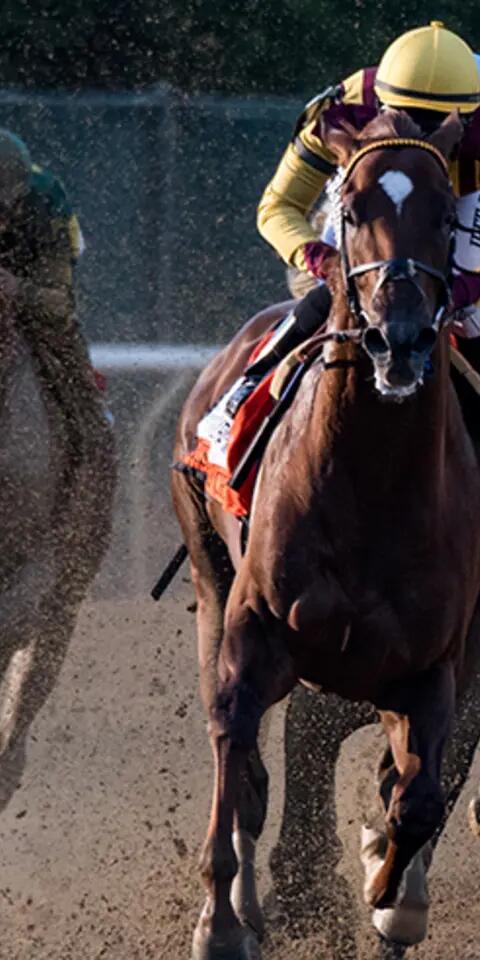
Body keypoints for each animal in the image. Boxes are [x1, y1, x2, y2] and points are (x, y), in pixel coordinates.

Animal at [172, 110, 480, 960]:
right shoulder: (255, 635)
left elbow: (419, 797)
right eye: (350, 205)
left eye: (446, 216)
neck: (369, 485)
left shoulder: (435, 664)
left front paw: (391, 895)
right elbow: (238, 748)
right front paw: (222, 922)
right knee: (246, 770)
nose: (399, 339)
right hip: (209, 578)